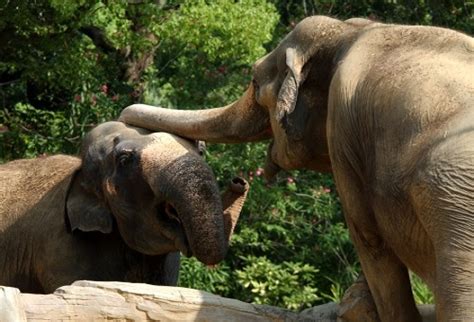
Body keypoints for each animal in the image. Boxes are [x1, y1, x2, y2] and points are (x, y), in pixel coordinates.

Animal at [119, 16, 474, 320]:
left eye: (254, 82)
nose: (239, 180)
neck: (350, 31)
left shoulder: (343, 125)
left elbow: (370, 239)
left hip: (453, 206)